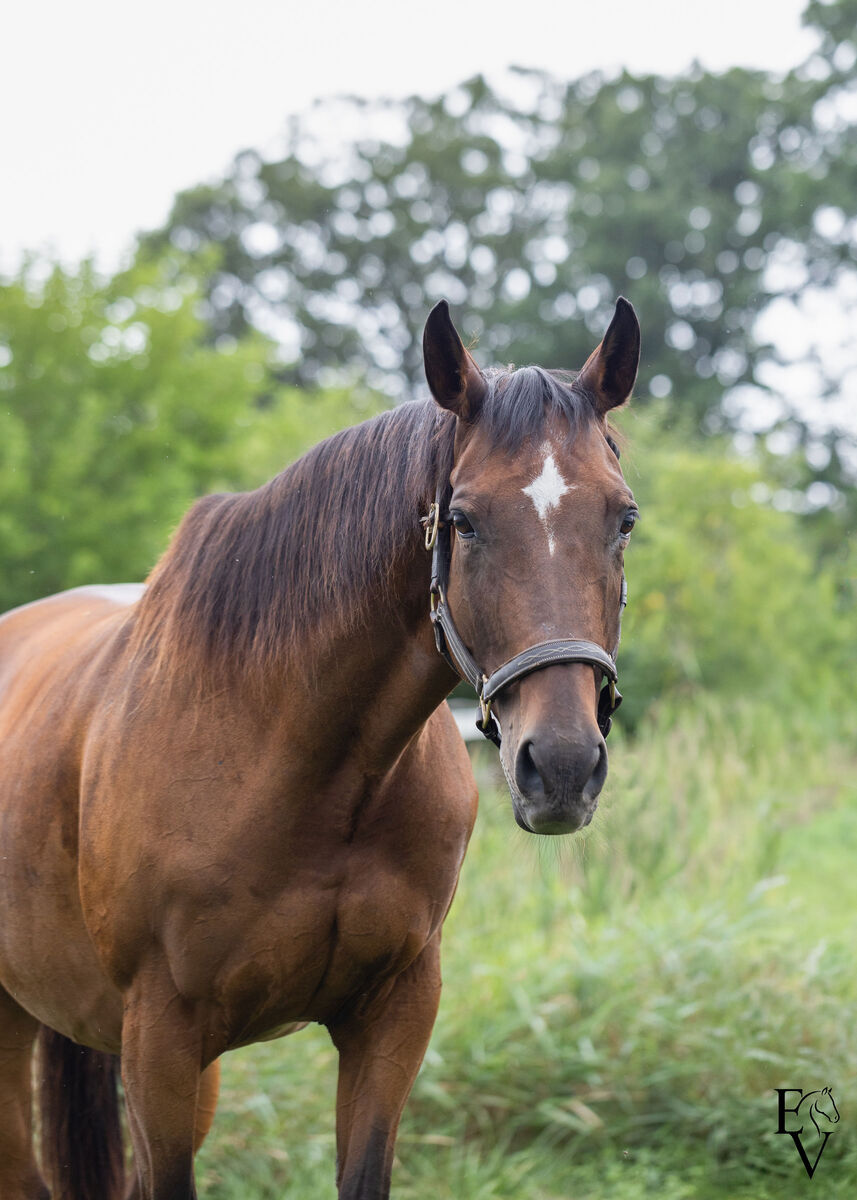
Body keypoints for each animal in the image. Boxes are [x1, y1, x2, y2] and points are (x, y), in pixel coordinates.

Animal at [0, 297, 640, 1200]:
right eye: (464, 520)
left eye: (623, 518)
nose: (559, 767)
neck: (306, 766)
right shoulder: (160, 1042)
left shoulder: (393, 1015)